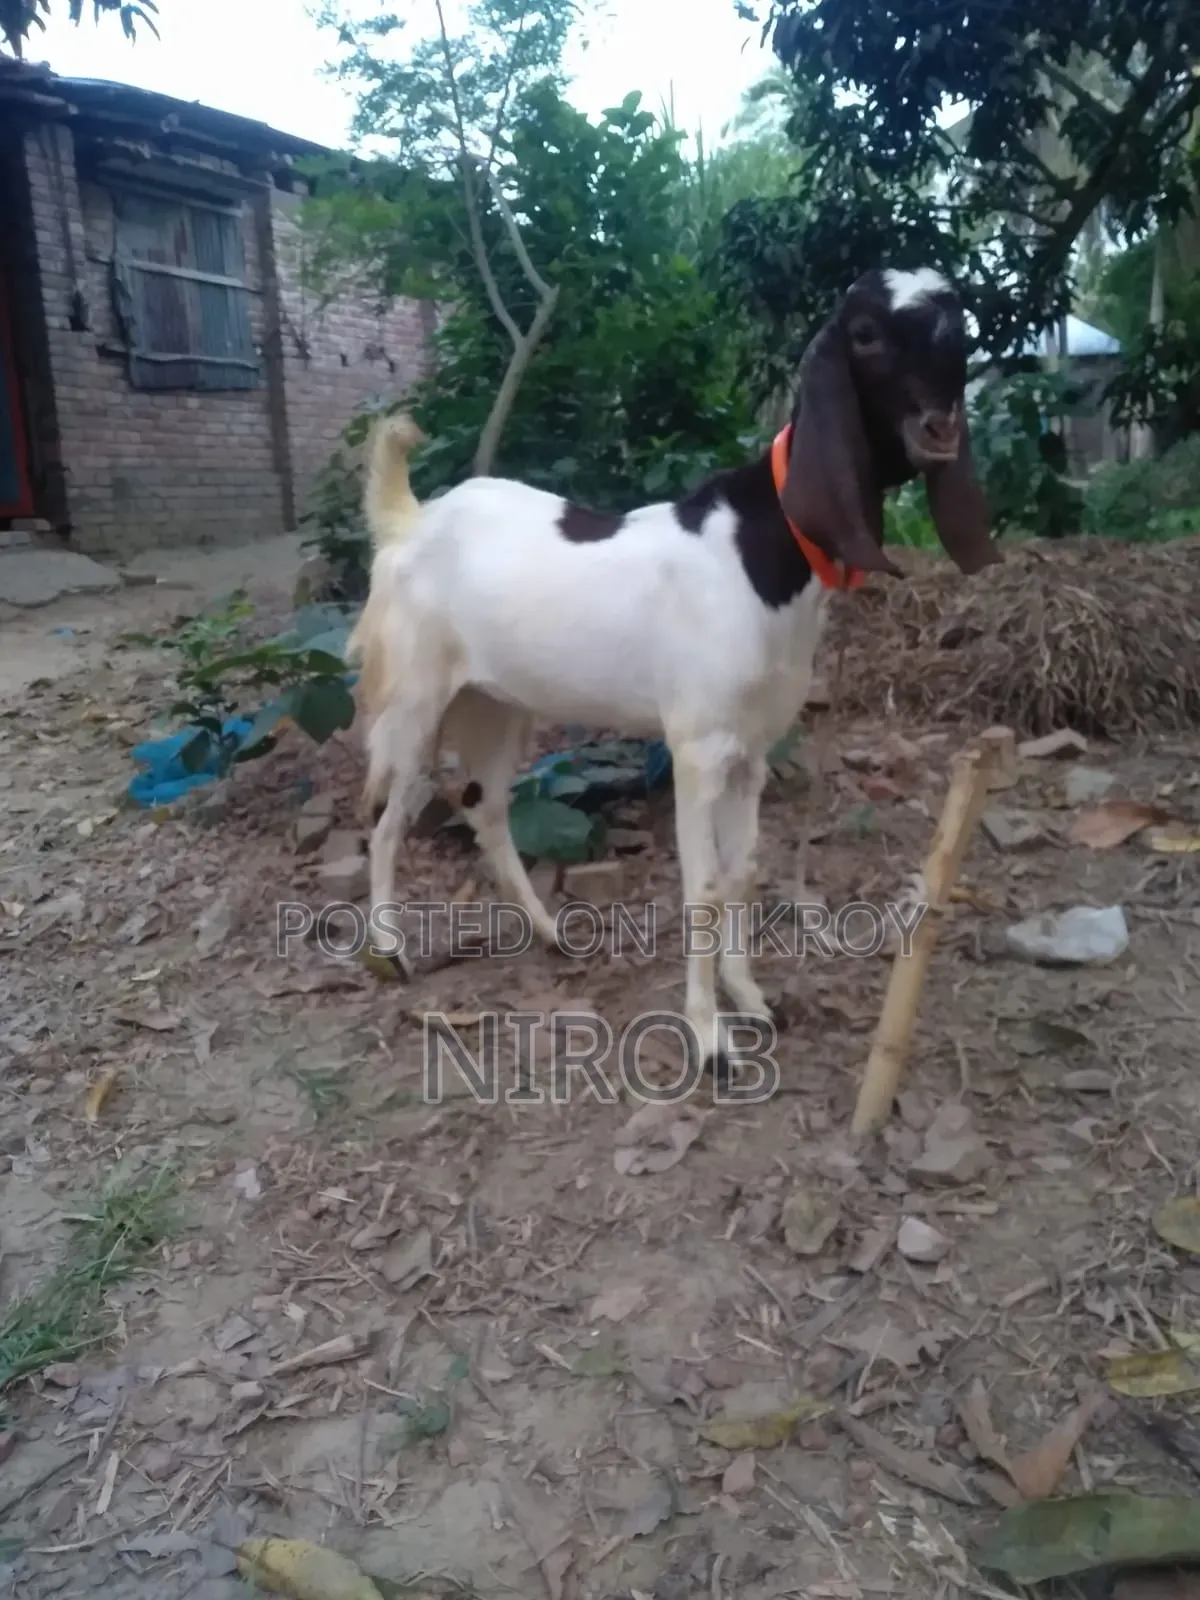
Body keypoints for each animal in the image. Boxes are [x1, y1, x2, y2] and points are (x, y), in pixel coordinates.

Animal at [357, 266, 1000, 1088]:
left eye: (957, 318)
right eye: (866, 334)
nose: (940, 424)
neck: (765, 548)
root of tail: (410, 521)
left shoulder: (751, 751)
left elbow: (743, 871)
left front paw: (750, 998)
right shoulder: (697, 748)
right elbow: (703, 884)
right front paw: (710, 1038)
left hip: (499, 703)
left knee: (485, 807)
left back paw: (550, 932)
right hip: (414, 699)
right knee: (387, 818)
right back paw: (388, 953)